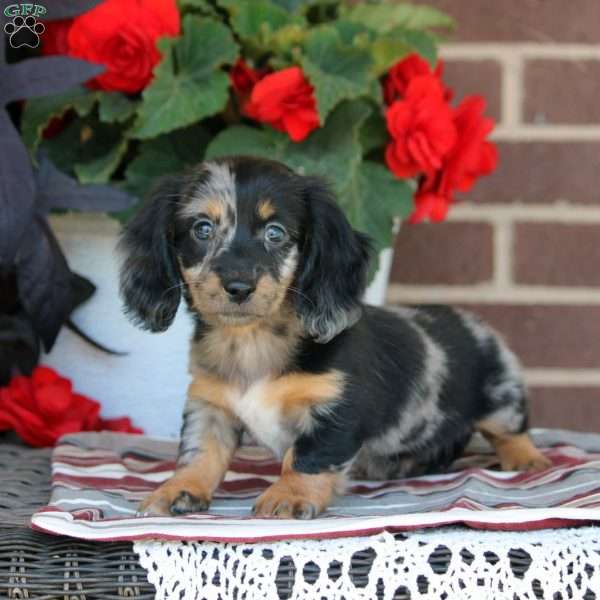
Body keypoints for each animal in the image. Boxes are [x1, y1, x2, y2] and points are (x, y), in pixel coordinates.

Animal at [119, 157, 552, 516]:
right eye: (202, 229)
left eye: (275, 233)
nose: (238, 287)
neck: (254, 344)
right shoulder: (210, 403)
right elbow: (200, 453)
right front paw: (178, 489)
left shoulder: (336, 407)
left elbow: (307, 456)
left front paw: (289, 495)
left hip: (502, 398)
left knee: (512, 432)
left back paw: (526, 459)